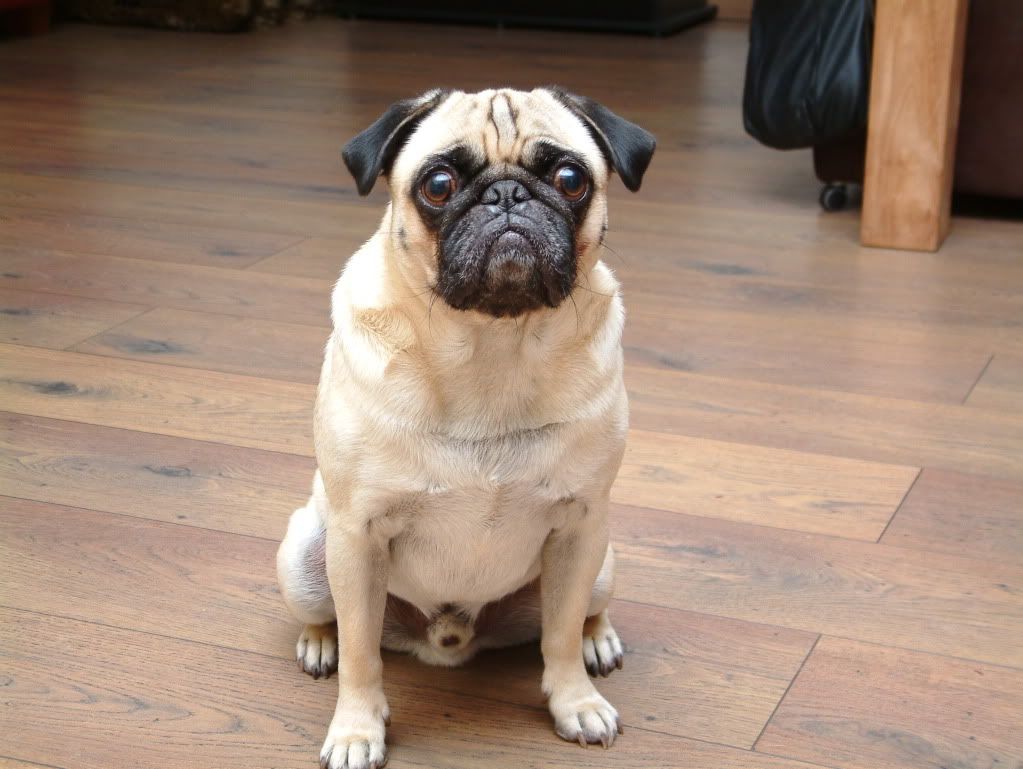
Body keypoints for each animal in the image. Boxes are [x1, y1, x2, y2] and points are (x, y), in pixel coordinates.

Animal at [276, 87, 655, 769]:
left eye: (570, 179)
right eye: (439, 185)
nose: (506, 195)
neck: (491, 346)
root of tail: (447, 635)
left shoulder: (580, 525)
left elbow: (559, 637)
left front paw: (575, 702)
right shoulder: (357, 538)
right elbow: (363, 656)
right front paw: (355, 730)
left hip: (602, 558)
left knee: (580, 613)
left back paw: (599, 639)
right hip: (306, 558)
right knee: (336, 621)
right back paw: (320, 642)